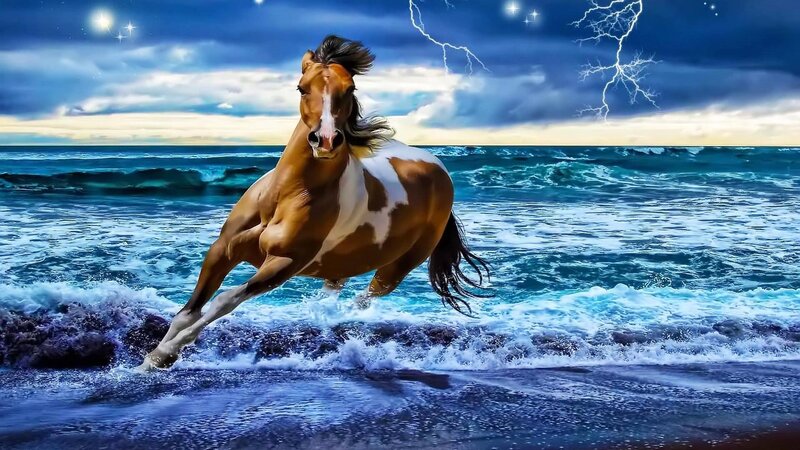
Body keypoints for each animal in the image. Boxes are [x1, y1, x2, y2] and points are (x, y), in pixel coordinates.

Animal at [138, 35, 490, 371]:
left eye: (350, 88)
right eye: (301, 87)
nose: (326, 140)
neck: (285, 196)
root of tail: (439, 169)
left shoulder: (283, 263)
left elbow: (224, 300)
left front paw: (162, 356)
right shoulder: (222, 249)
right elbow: (188, 312)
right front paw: (149, 359)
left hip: (397, 267)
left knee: (363, 299)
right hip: (342, 264)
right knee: (334, 291)